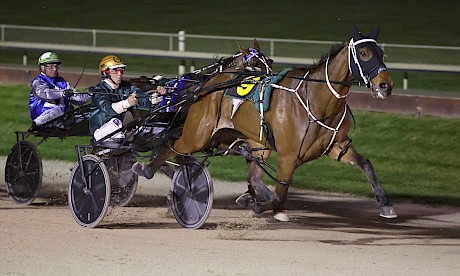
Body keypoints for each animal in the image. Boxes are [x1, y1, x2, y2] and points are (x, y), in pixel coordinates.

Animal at [146, 24, 396, 221]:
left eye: (382, 52)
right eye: (363, 53)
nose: (385, 85)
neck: (316, 100)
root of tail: (208, 85)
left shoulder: (337, 146)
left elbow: (366, 164)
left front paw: (385, 205)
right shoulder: (288, 157)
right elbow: (279, 195)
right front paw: (263, 206)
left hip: (254, 143)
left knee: (252, 174)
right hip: (198, 135)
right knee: (172, 147)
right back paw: (148, 170)